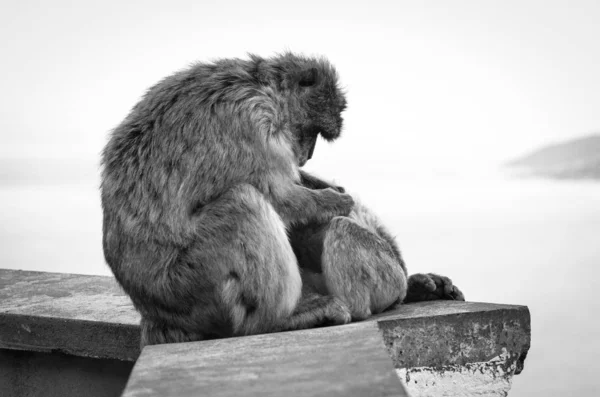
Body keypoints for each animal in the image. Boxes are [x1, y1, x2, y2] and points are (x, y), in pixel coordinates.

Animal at [101, 53, 358, 346]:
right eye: (312, 132)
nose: (307, 156)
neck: (263, 86)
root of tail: (157, 314)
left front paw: (327, 185)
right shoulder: (252, 120)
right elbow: (279, 196)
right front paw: (335, 201)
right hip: (193, 282)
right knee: (243, 202)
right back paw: (278, 320)